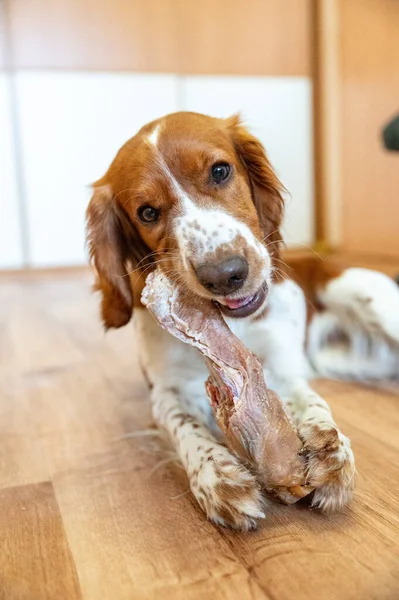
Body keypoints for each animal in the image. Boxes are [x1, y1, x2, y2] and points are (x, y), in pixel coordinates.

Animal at [85, 111, 399, 528]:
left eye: (220, 171)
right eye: (147, 212)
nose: (225, 274)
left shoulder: (282, 371)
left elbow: (313, 404)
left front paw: (332, 451)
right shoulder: (166, 389)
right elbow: (184, 426)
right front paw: (216, 475)